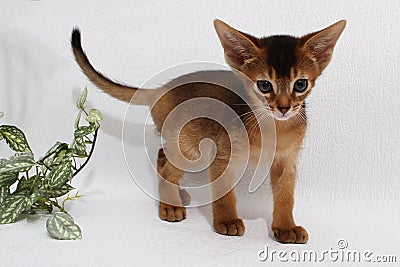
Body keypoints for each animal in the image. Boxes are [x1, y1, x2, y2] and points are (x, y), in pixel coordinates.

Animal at [70, 19, 346, 244]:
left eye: (300, 84)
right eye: (264, 85)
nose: (284, 107)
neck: (272, 126)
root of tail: (162, 89)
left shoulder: (286, 163)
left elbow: (286, 197)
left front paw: (286, 227)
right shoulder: (223, 155)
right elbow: (225, 194)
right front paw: (226, 221)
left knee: (161, 155)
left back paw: (175, 196)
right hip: (191, 148)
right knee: (167, 165)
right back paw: (169, 206)